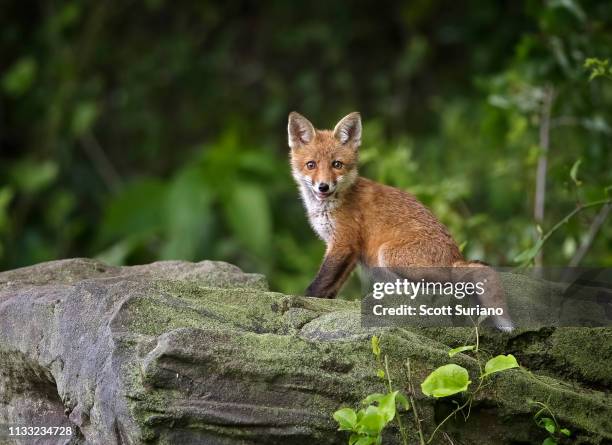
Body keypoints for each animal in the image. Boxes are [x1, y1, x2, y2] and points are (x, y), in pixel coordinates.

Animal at [286, 112, 512, 330]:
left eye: (337, 165)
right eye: (311, 165)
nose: (323, 186)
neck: (333, 203)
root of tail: (456, 257)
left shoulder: (343, 242)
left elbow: (319, 282)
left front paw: (303, 299)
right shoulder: (351, 252)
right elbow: (332, 285)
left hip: (387, 254)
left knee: (441, 286)